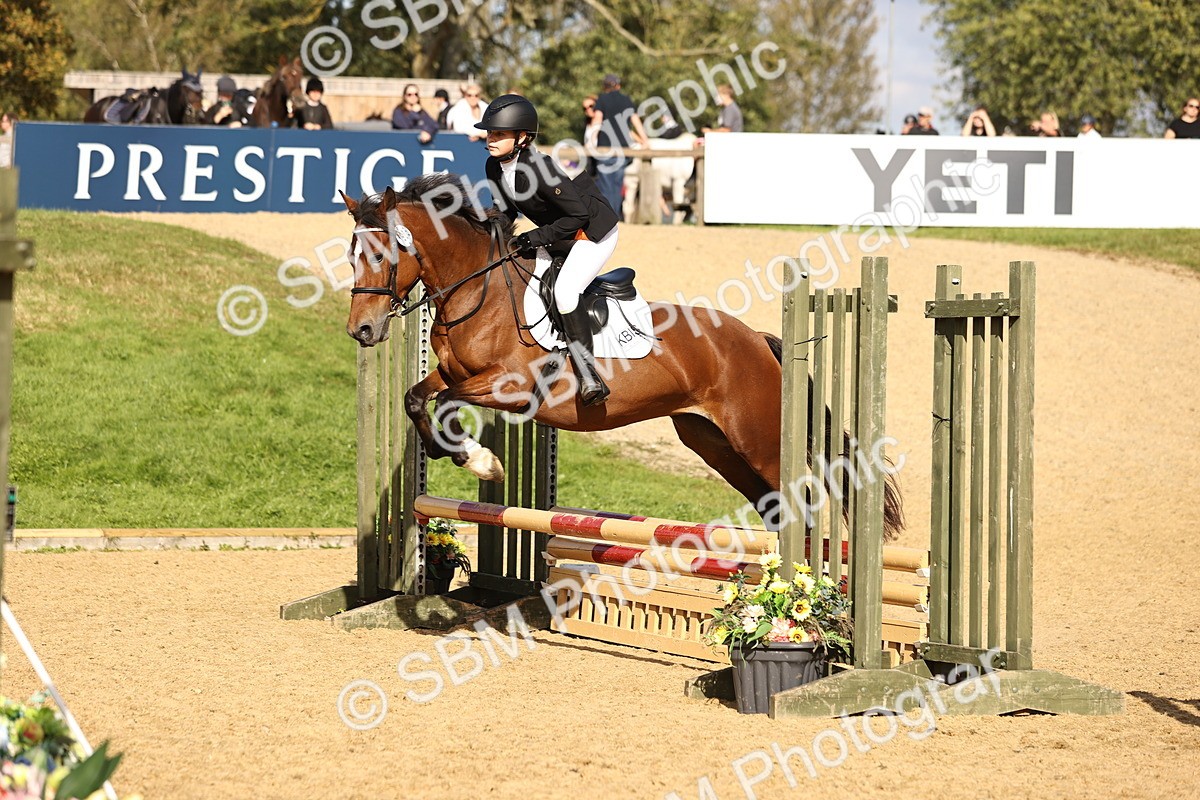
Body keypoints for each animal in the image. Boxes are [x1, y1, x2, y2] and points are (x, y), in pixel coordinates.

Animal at [341, 175, 905, 536]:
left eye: (382, 254)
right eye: (350, 255)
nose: (361, 330)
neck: (480, 293)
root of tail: (757, 340)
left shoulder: (513, 386)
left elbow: (447, 403)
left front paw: (481, 461)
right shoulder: (450, 373)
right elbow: (418, 398)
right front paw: (459, 455)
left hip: (760, 440)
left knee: (802, 504)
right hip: (713, 442)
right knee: (773, 507)